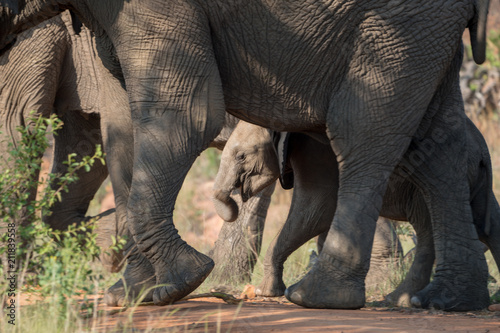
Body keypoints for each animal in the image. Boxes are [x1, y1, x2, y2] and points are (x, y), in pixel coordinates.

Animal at [0, 0, 490, 308]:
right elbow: (116, 127)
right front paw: (134, 296)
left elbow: (188, 113)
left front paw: (180, 283)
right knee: (436, 141)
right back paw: (446, 300)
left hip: (398, 28)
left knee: (364, 128)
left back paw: (318, 297)